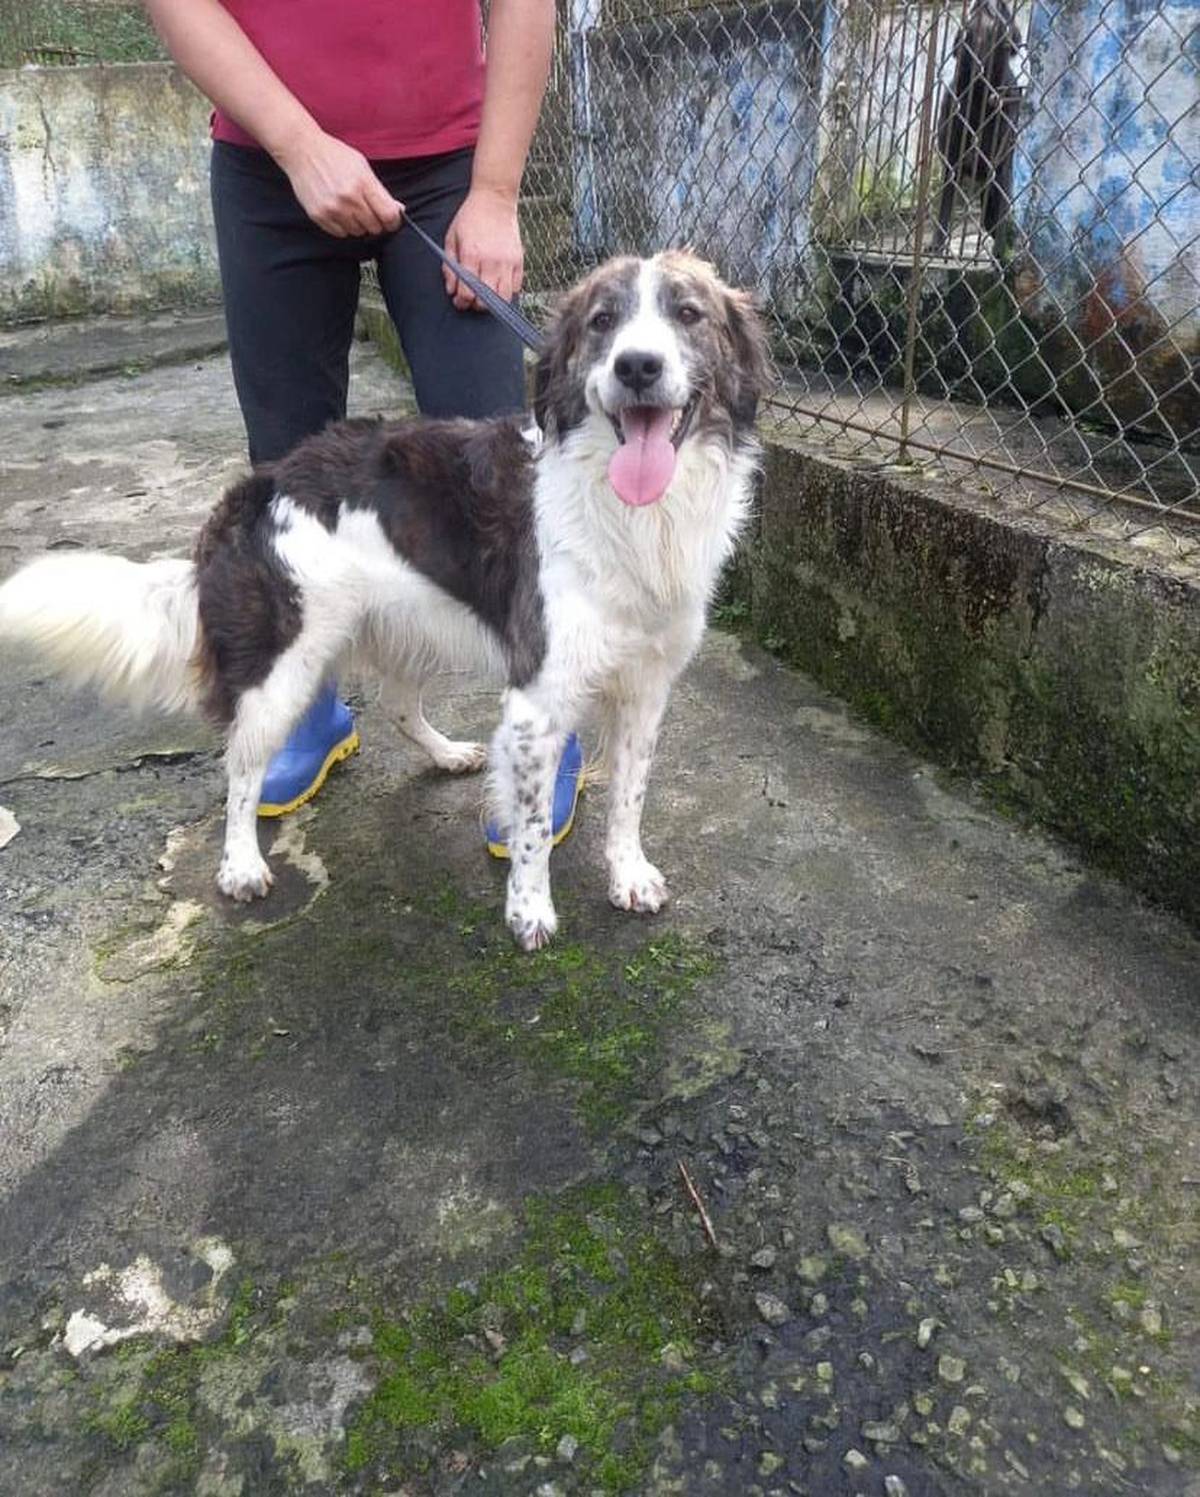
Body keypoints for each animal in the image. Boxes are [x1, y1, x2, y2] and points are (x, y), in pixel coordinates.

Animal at [0, 252, 770, 950]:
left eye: (688, 314)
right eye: (603, 321)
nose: (637, 366)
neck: (637, 513)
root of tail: (258, 485)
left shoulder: (647, 685)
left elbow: (629, 797)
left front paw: (628, 874)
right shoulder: (538, 696)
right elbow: (529, 828)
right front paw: (528, 911)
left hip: (406, 623)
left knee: (398, 707)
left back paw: (448, 754)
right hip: (282, 665)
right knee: (240, 767)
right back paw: (240, 862)